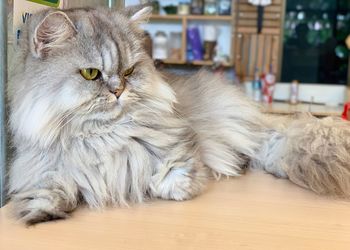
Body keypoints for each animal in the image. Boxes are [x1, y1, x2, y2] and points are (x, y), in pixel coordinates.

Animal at [6, 5, 350, 226]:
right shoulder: (41, 166)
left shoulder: (181, 149)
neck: (102, 135)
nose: (118, 91)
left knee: (268, 146)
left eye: (129, 72)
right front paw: (41, 211)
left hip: (250, 130)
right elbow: (50, 187)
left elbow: (170, 180)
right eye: (91, 74)